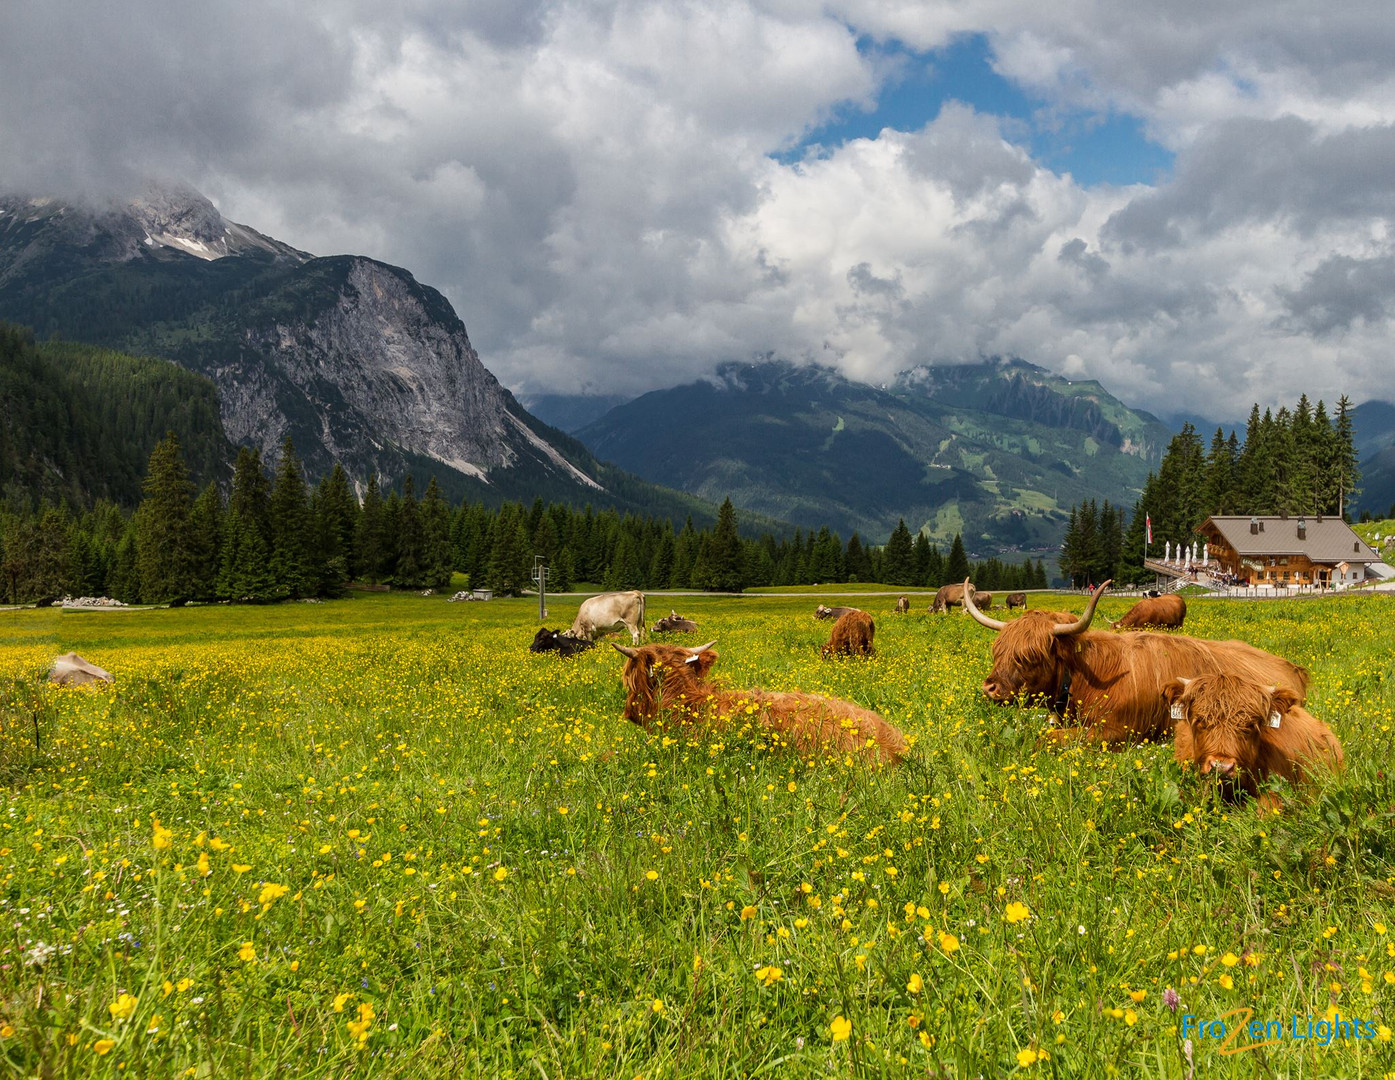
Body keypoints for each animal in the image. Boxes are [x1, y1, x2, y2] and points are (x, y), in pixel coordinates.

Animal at [965, 580, 1311, 747]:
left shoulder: (1115, 731)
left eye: (1030, 656)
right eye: (998, 651)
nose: (990, 687)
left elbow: (1046, 739)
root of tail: (1292, 668)